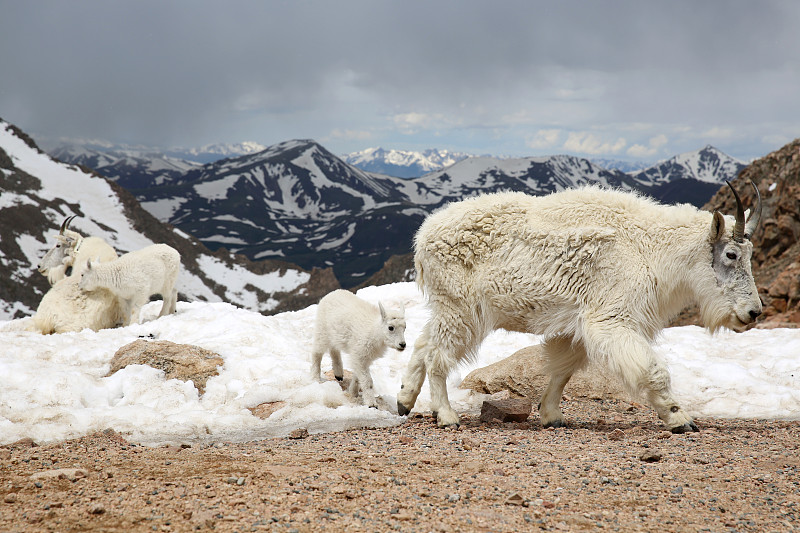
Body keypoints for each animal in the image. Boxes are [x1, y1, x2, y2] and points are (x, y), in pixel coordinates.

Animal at [398, 181, 764, 430]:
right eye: (731, 254)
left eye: (748, 255)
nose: (753, 312)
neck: (651, 247)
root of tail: (422, 238)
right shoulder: (611, 317)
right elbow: (652, 370)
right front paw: (679, 418)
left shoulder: (574, 324)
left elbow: (562, 371)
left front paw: (551, 415)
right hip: (460, 308)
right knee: (437, 355)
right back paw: (446, 415)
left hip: (447, 307)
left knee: (423, 343)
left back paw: (405, 400)